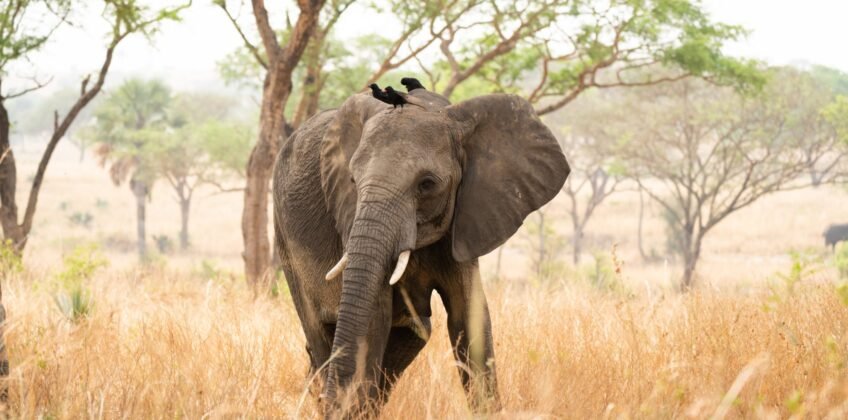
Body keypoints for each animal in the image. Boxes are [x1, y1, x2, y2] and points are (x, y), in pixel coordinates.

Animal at [272, 84, 570, 416]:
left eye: (427, 184)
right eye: (352, 180)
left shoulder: (466, 215)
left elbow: (470, 317)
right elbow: (374, 318)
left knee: (413, 332)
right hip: (284, 237)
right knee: (321, 331)